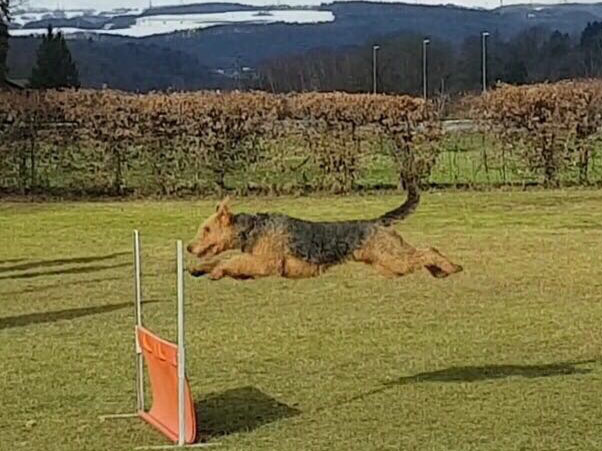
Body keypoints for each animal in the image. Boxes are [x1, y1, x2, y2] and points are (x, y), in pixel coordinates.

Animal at [185, 185, 462, 280]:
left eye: (207, 229)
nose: (189, 247)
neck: (253, 229)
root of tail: (378, 222)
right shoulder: (253, 266)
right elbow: (223, 260)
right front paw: (199, 269)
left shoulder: (266, 264)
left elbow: (230, 261)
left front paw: (216, 271)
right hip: (389, 264)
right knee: (424, 254)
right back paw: (440, 271)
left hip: (394, 258)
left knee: (429, 251)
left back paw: (451, 267)